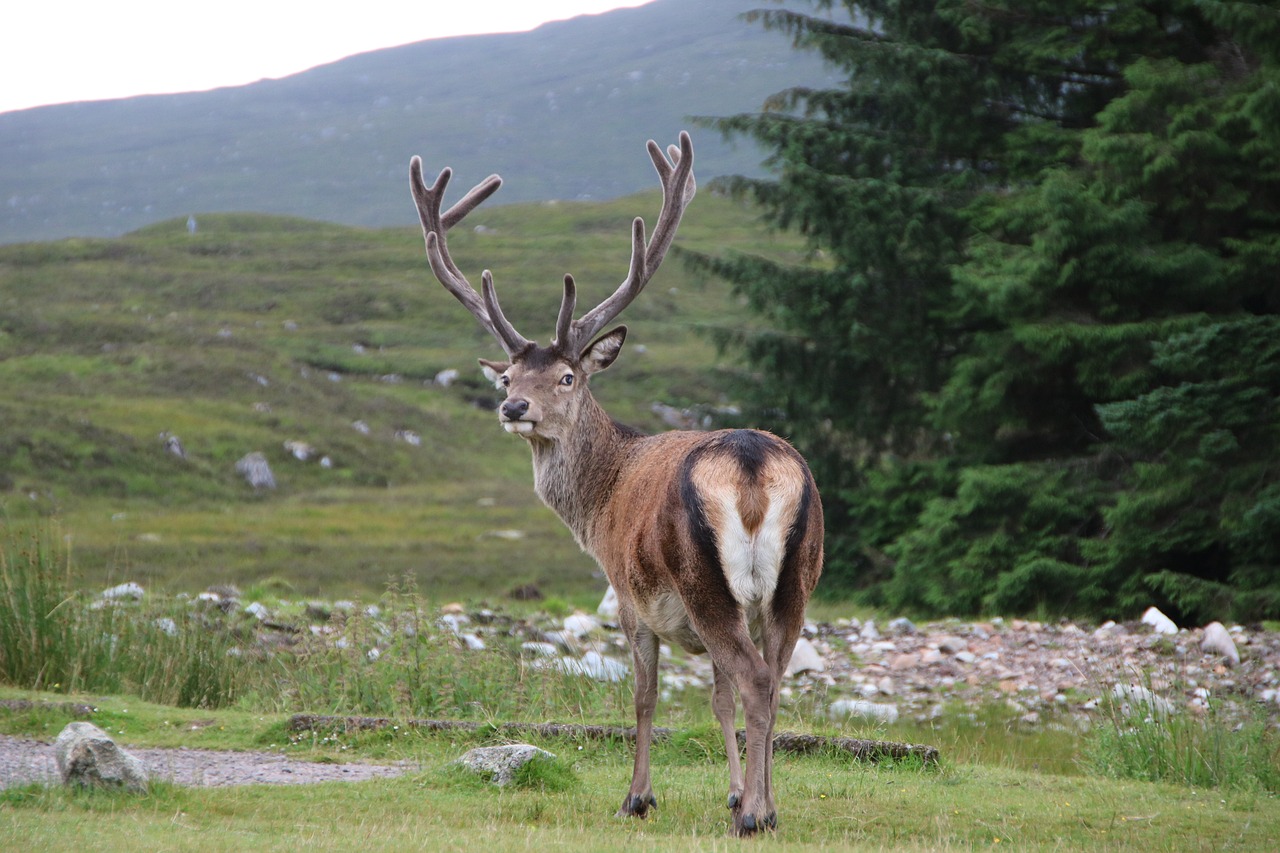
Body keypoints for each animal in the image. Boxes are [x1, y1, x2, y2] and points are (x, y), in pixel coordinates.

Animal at [407, 131, 819, 829]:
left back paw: (754, 818)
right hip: (795, 577)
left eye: (568, 376)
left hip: (704, 578)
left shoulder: (629, 596)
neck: (598, 502)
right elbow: (718, 700)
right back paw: (766, 808)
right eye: (508, 376)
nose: (513, 407)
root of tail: (752, 462)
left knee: (758, 678)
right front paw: (732, 789)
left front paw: (638, 796)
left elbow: (645, 698)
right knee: (773, 677)